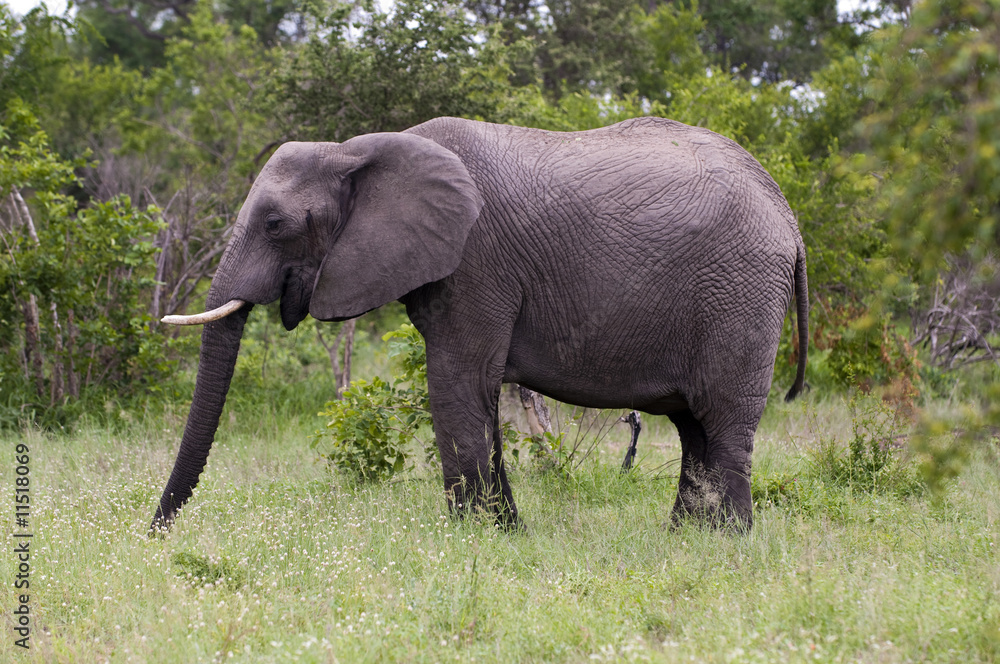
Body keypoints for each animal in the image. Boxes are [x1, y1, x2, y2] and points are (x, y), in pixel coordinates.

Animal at [152, 116, 808, 532]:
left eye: (274, 225)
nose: (155, 535)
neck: (358, 149)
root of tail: (789, 216)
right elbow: (479, 392)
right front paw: (508, 532)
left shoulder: (476, 260)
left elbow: (457, 383)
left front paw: (472, 536)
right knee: (694, 425)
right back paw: (685, 538)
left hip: (740, 293)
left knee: (722, 421)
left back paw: (727, 542)